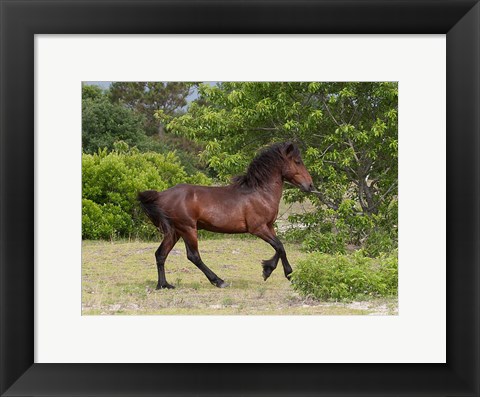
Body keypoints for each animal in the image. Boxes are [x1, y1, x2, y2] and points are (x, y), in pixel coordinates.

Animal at [138, 142, 316, 288]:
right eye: (297, 162)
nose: (310, 185)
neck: (260, 192)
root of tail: (161, 195)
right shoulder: (258, 228)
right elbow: (280, 247)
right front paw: (287, 274)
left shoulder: (269, 227)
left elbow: (279, 248)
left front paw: (267, 269)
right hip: (188, 229)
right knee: (193, 256)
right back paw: (219, 281)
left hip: (175, 231)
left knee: (161, 254)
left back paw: (164, 285)